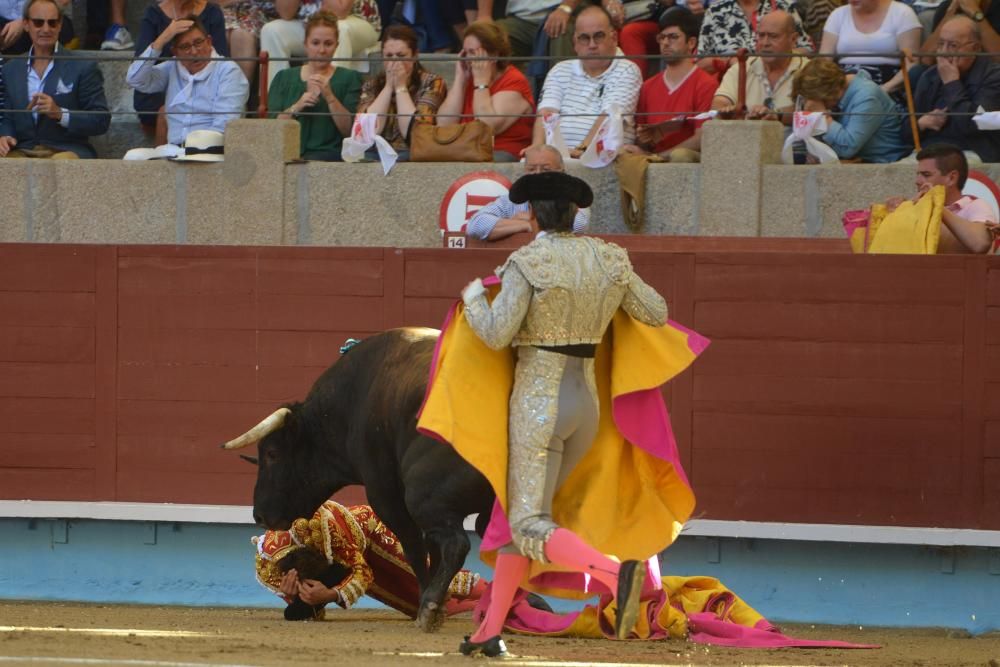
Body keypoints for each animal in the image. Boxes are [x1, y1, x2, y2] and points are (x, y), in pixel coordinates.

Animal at [223, 328, 496, 632]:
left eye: (272, 453)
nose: (259, 515)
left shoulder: (383, 491)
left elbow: (415, 548)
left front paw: (430, 603)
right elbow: (431, 550)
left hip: (423, 496)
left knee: (457, 543)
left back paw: (431, 606)